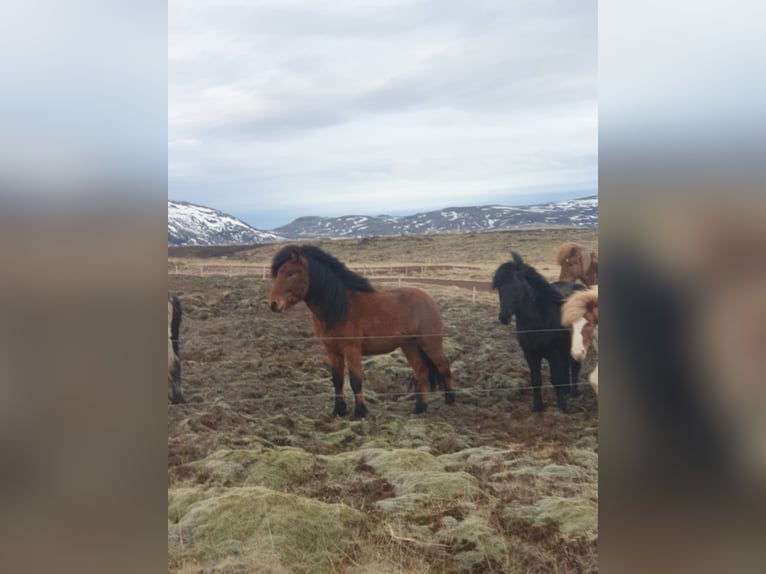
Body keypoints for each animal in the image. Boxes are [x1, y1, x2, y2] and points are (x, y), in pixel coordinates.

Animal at [268, 245, 455, 418]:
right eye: (278, 274)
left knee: (443, 366)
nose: (273, 304)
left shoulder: (352, 349)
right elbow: (337, 380)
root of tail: (429, 299)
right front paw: (339, 410)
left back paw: (450, 401)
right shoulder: (332, 351)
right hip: (410, 346)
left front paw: (360, 412)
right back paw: (420, 408)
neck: (340, 307)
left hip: (430, 343)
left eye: (290, 273)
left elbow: (355, 380)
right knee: (421, 371)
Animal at [492, 252, 584, 412]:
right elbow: (536, 380)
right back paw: (567, 392)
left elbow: (556, 379)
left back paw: (573, 393)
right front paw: (537, 407)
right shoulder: (530, 354)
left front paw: (562, 408)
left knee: (575, 366)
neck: (538, 322)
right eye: (499, 288)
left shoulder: (553, 353)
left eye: (516, 287)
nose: (504, 317)